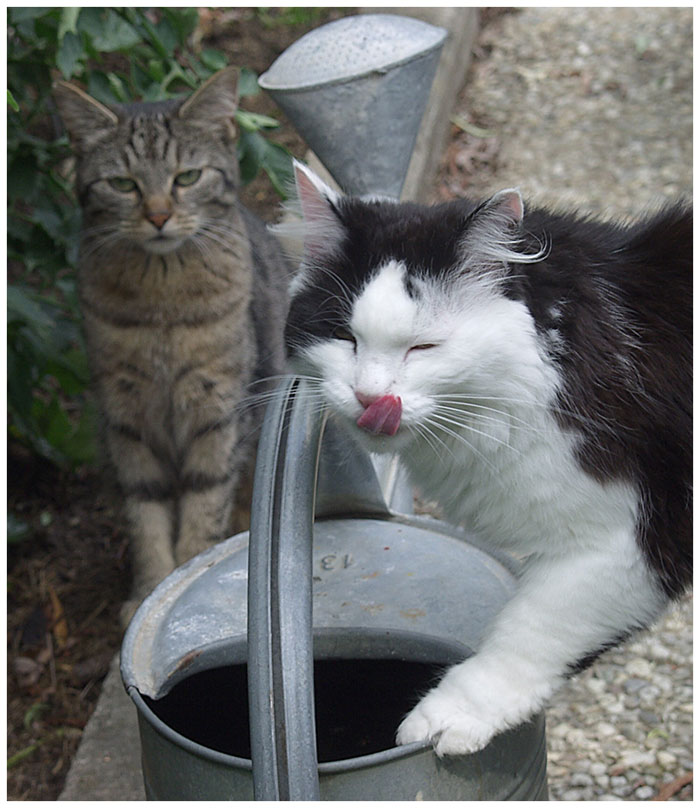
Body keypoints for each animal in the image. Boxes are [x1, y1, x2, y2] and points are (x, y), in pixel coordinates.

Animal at [53, 69, 290, 620]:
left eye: (187, 177)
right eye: (123, 184)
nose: (159, 216)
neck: (162, 301)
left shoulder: (217, 411)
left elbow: (204, 506)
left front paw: (189, 575)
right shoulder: (125, 418)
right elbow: (145, 516)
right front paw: (150, 589)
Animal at [282, 163, 692, 756]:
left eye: (423, 347)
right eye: (343, 336)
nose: (368, 397)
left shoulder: (630, 535)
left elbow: (532, 627)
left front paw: (452, 714)